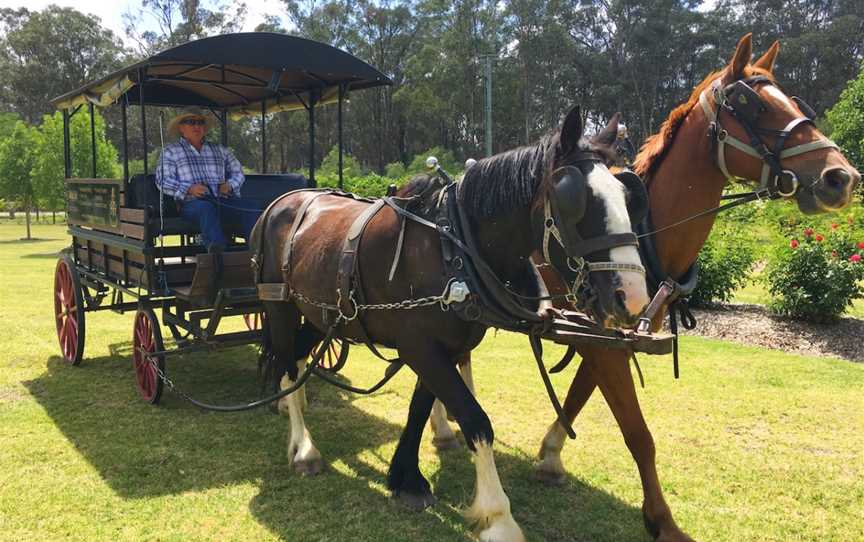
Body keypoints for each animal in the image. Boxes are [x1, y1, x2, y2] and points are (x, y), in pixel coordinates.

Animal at [253, 107, 652, 542]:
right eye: (573, 200)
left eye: (628, 198)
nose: (632, 297)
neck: (453, 247)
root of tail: (285, 200)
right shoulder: (419, 346)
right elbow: (476, 420)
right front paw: (498, 517)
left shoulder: (439, 346)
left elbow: (420, 407)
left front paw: (406, 479)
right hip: (280, 306)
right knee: (288, 364)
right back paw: (304, 449)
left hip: (322, 315)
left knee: (295, 357)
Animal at [532, 35, 856, 542]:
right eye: (752, 104)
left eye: (794, 102)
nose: (840, 177)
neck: (644, 231)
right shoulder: (600, 339)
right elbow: (638, 433)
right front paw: (662, 519)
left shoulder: (605, 336)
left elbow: (580, 395)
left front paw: (550, 454)